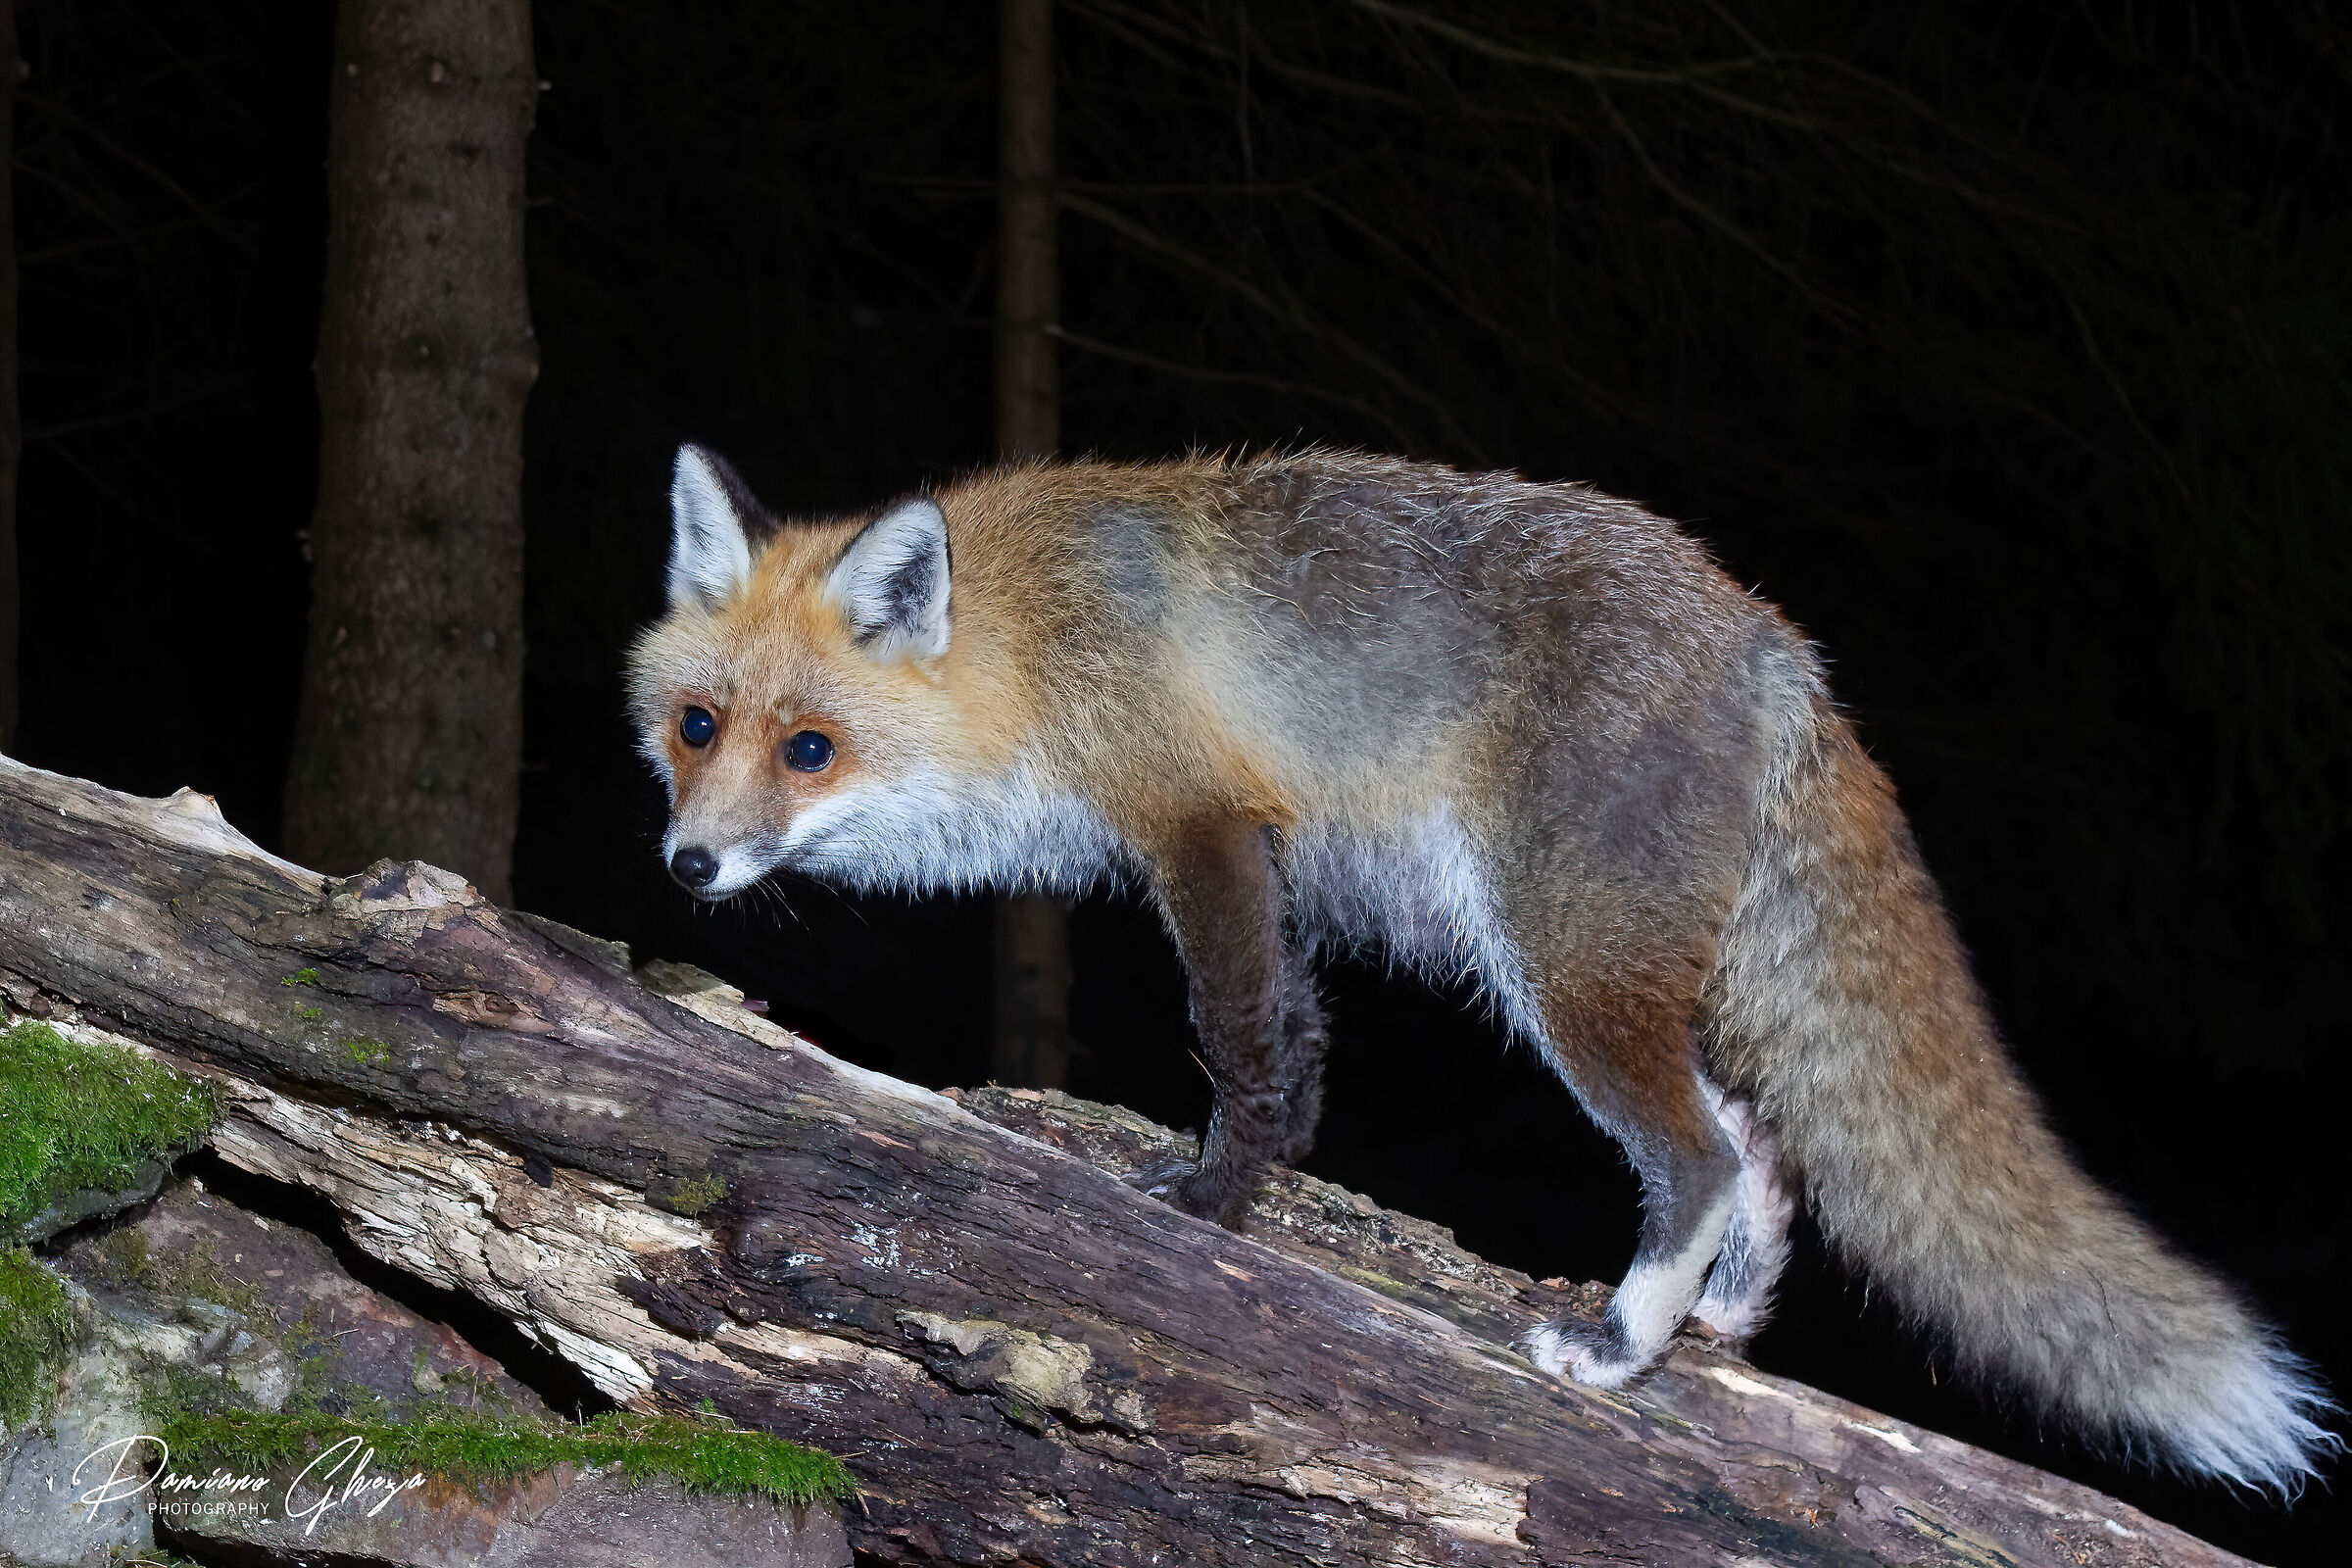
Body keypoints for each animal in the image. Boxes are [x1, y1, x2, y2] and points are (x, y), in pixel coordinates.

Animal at [626, 442, 2334, 1492]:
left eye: (810, 748)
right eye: (698, 728)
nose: (689, 870)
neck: (1031, 638)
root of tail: (1779, 645)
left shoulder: (1202, 825)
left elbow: (1245, 1043)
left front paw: (1210, 1211)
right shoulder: (1255, 854)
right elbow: (1296, 1041)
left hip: (1562, 971)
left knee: (1701, 1157)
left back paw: (1626, 1349)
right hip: (1613, 970)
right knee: (1765, 1146)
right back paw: (1724, 1320)